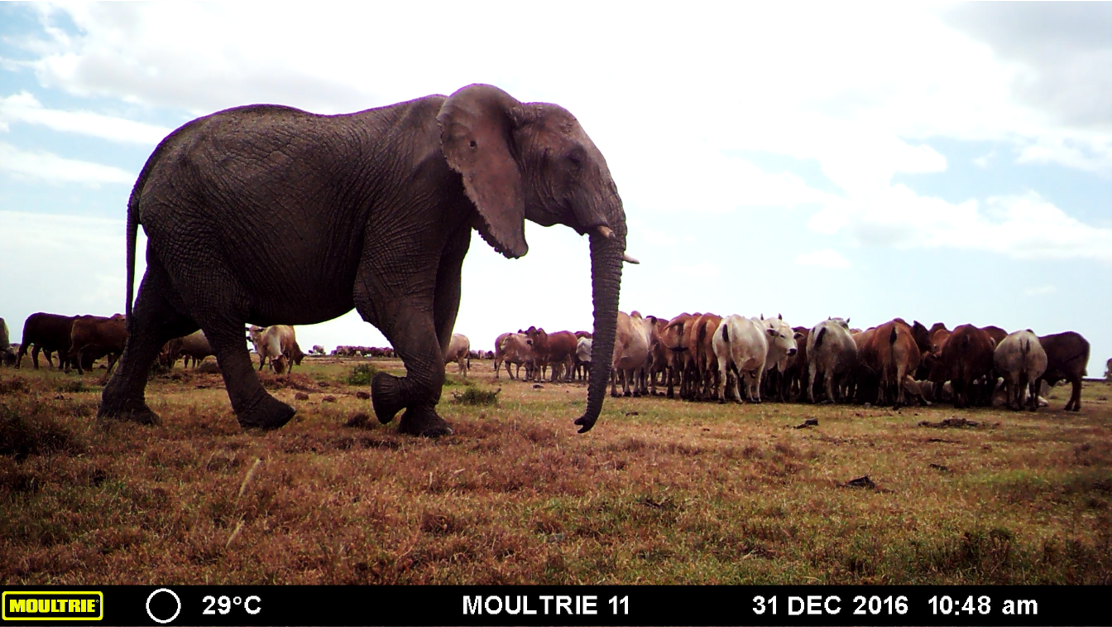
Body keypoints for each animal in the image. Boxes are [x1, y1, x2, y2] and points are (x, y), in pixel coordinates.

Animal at [98, 84, 632, 437]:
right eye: (574, 162)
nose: (579, 424)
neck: (508, 105)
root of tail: (148, 168)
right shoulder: (415, 192)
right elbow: (383, 294)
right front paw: (382, 397)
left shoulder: (453, 208)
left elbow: (443, 304)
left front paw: (429, 428)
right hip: (192, 223)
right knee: (218, 311)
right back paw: (271, 419)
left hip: (179, 227)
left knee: (155, 315)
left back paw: (129, 417)